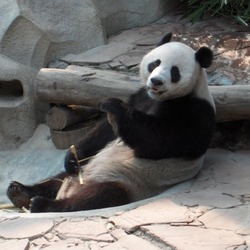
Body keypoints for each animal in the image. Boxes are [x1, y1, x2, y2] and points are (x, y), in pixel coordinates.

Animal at [6, 33, 216, 213]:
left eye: (174, 71)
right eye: (155, 63)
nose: (156, 81)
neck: (161, 98)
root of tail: (73, 187)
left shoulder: (194, 112)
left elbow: (158, 141)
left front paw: (112, 105)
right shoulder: (141, 96)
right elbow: (105, 132)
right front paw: (73, 155)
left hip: (130, 182)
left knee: (100, 196)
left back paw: (43, 204)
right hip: (83, 171)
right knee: (58, 178)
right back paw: (21, 192)